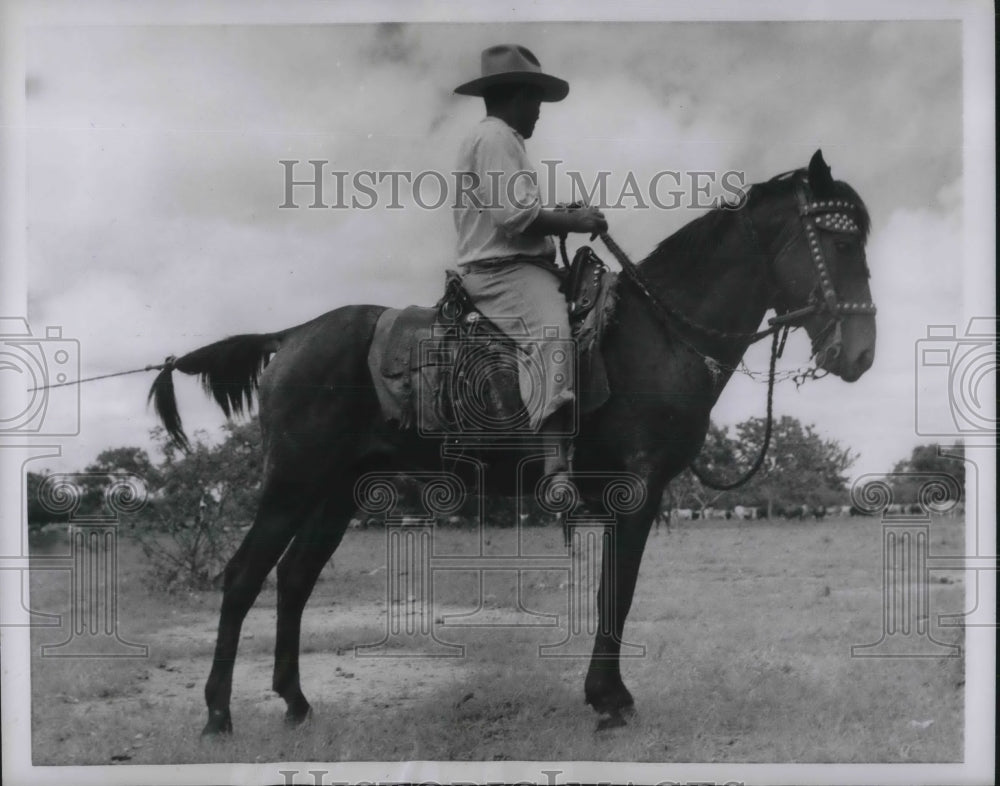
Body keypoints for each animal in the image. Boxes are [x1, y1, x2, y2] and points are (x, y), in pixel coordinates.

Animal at [148, 149, 876, 736]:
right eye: (839, 242)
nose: (861, 355)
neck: (658, 335)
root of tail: (291, 335)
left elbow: (615, 591)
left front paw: (607, 694)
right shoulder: (635, 494)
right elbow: (618, 591)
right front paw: (609, 699)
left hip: (335, 494)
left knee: (295, 578)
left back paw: (296, 702)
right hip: (291, 484)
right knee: (244, 576)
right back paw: (218, 714)